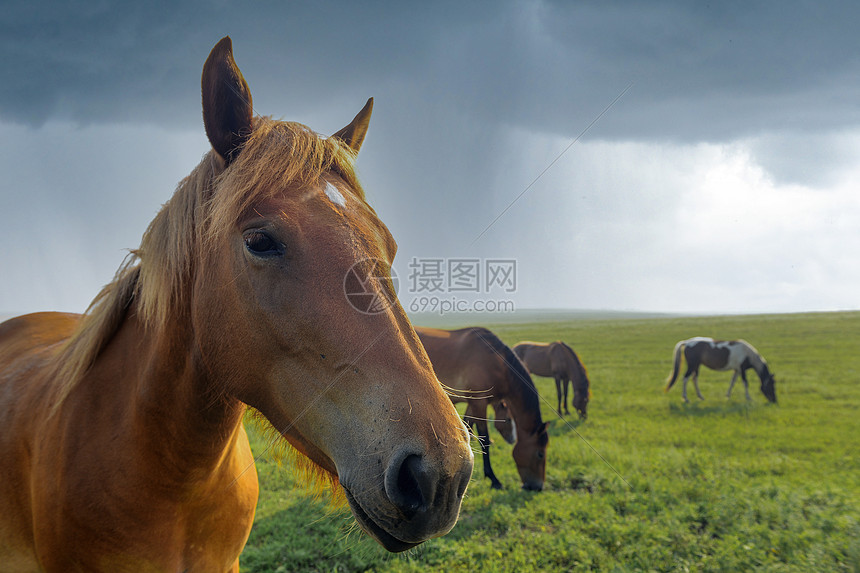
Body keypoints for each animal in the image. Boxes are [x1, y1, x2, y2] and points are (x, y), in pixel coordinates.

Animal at [418, 326, 552, 492]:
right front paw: (493, 479)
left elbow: (468, 428)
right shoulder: (480, 404)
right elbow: (485, 439)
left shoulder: (473, 403)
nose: (538, 486)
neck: (496, 364)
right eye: (540, 454)